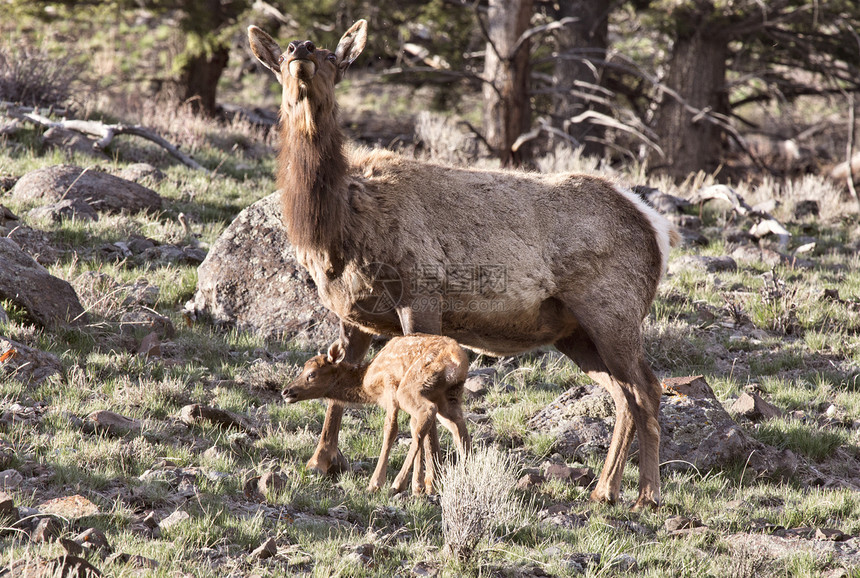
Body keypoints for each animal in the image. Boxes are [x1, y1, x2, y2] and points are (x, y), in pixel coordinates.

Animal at [282, 332, 470, 490]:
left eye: (311, 374)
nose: (286, 392)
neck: (366, 382)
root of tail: (457, 358)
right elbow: (412, 426)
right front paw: (417, 486)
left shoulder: (390, 387)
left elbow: (391, 430)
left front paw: (376, 483)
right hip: (449, 395)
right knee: (458, 428)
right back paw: (464, 478)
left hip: (411, 387)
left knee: (429, 412)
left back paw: (397, 484)